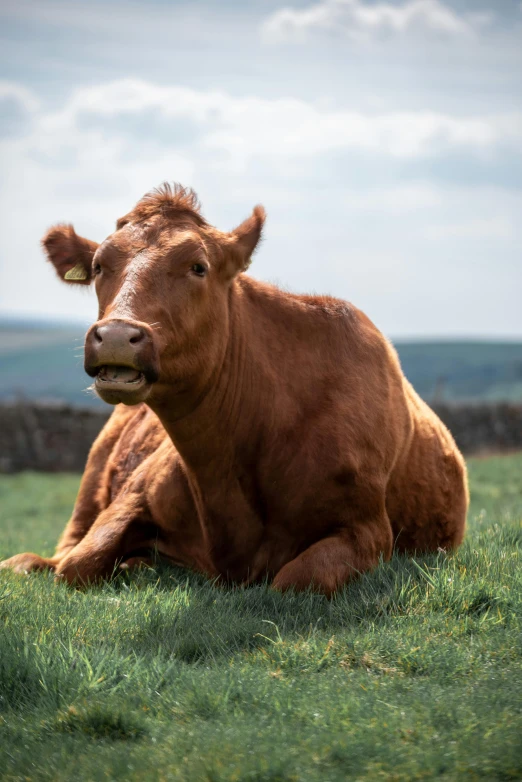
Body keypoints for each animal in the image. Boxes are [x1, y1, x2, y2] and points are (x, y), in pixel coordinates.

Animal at [0, 184, 468, 596]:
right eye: (98, 265)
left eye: (198, 267)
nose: (115, 335)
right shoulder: (134, 494)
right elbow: (77, 565)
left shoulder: (368, 529)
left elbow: (295, 580)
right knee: (59, 552)